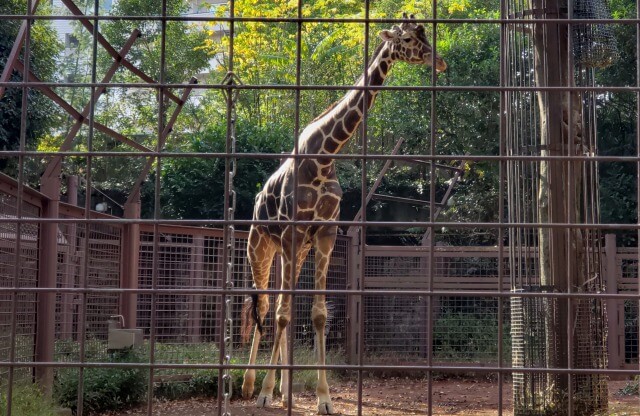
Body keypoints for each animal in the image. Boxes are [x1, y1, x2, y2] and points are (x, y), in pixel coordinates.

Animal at [240, 13, 444, 412]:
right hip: (261, 246)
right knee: (265, 304)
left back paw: (281, 390)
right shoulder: (293, 232)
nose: (438, 61)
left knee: (283, 306)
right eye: (408, 38)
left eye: (425, 34)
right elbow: (283, 312)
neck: (324, 156)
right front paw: (266, 392)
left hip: (294, 251)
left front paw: (323, 399)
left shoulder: (325, 233)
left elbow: (317, 314)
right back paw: (250, 387)